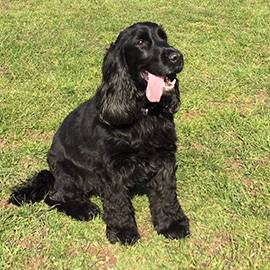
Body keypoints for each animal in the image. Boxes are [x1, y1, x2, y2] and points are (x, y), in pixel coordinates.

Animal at [8, 21, 190, 245]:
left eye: (164, 38)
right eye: (141, 42)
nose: (177, 56)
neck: (143, 113)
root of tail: (52, 173)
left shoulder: (164, 157)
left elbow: (166, 194)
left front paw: (172, 225)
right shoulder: (112, 166)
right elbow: (118, 201)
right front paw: (123, 231)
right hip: (68, 173)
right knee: (55, 198)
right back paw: (84, 209)